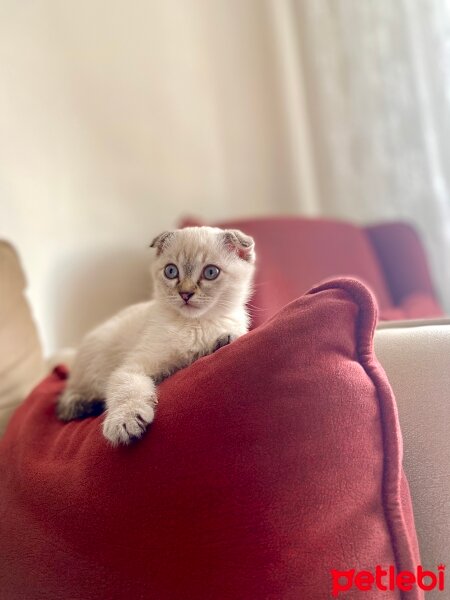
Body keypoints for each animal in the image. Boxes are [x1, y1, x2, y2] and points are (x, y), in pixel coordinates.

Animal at [55, 225, 256, 446]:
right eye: (171, 271)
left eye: (211, 272)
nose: (185, 294)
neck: (193, 325)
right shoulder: (133, 367)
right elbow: (126, 387)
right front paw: (124, 422)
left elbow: (216, 343)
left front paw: (222, 340)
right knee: (68, 401)